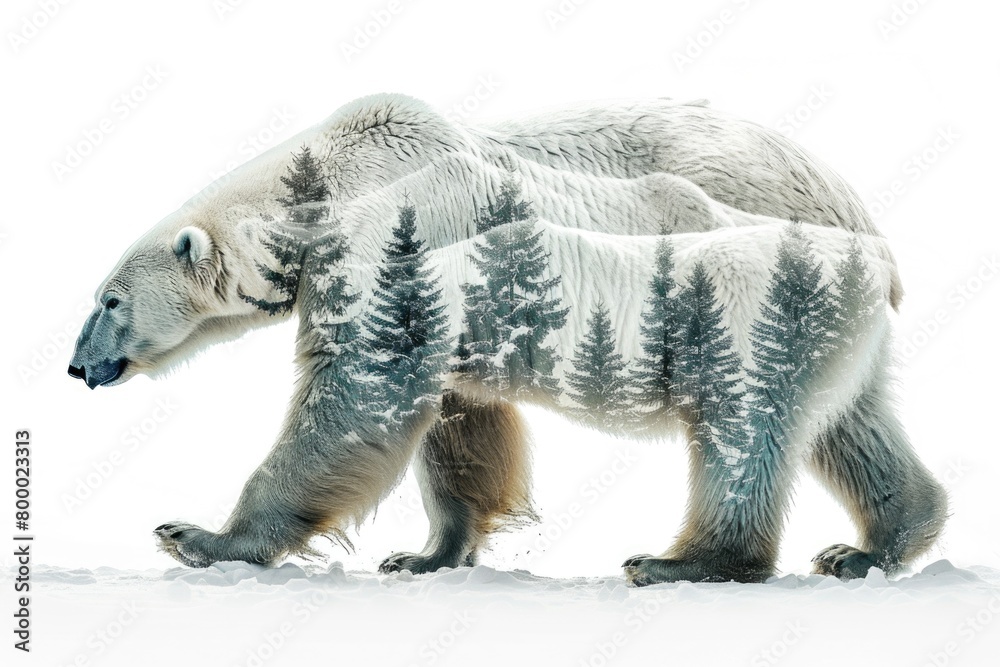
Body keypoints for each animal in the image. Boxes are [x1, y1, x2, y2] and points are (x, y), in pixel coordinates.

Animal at [67, 94, 942, 584]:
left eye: (110, 299)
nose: (77, 365)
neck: (334, 181)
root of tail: (849, 197)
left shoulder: (402, 246)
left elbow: (358, 398)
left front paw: (198, 537)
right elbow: (458, 420)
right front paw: (424, 555)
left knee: (754, 420)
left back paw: (684, 561)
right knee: (849, 421)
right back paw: (875, 544)